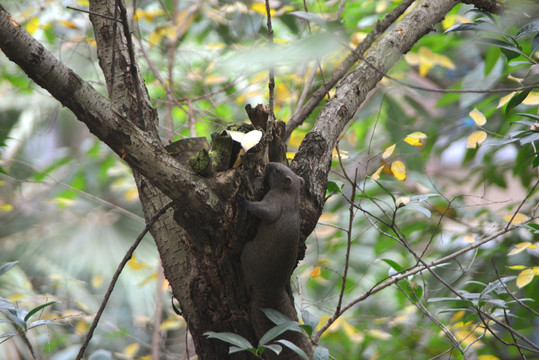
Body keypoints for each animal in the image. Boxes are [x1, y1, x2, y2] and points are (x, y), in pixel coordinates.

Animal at [240, 162, 308, 358]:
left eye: (277, 171)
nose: (269, 164)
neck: (291, 195)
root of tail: (271, 286)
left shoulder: (274, 202)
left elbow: (264, 211)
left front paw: (244, 201)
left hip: (247, 253)